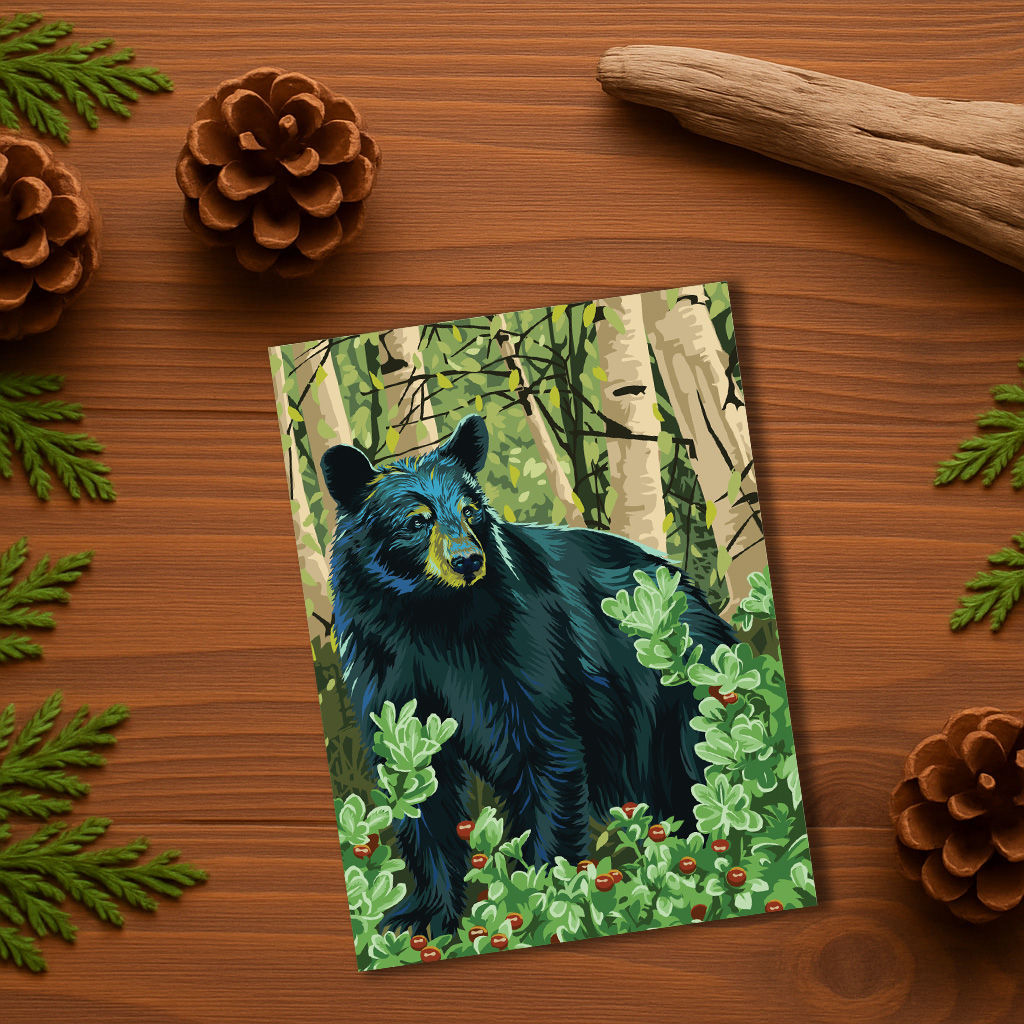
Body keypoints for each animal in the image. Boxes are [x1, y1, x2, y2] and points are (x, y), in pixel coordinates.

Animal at [321, 414, 734, 933]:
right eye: (416, 520)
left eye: (470, 510)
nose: (467, 560)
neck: (432, 620)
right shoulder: (387, 667)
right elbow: (417, 777)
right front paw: (422, 914)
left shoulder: (523, 647)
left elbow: (544, 752)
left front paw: (539, 897)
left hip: (679, 697)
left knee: (699, 767)